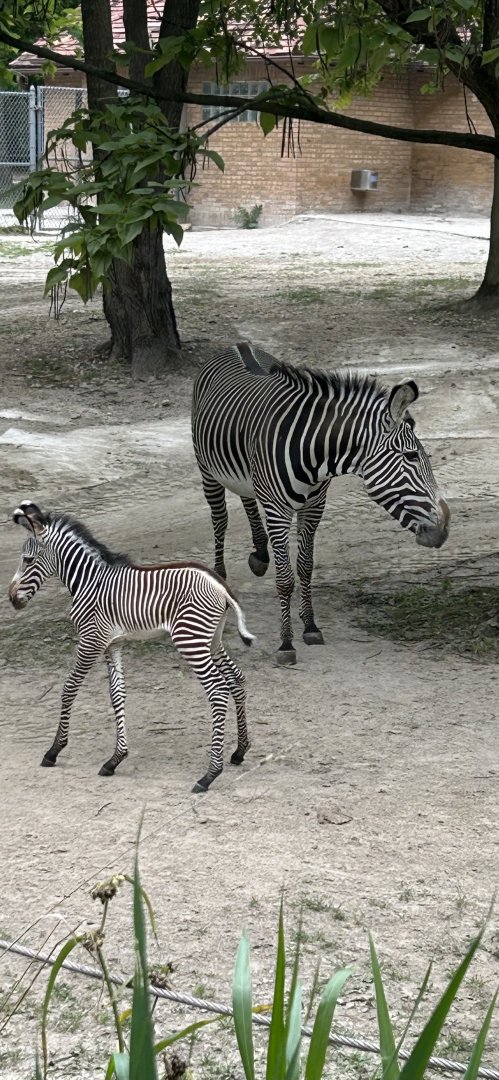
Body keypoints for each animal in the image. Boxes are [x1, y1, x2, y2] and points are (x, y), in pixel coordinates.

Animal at [8, 501, 254, 792]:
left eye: (27, 560)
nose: (12, 599)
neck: (88, 581)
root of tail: (220, 585)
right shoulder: (112, 644)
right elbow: (117, 695)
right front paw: (115, 759)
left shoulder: (91, 640)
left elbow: (69, 689)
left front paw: (54, 750)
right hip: (211, 640)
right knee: (237, 680)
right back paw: (239, 751)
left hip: (190, 641)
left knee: (218, 690)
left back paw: (209, 775)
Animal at [192, 342, 450, 665]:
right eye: (412, 456)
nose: (444, 528)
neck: (313, 453)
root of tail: (238, 345)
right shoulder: (277, 510)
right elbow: (285, 578)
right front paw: (286, 643)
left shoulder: (314, 506)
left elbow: (305, 566)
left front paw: (311, 626)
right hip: (207, 469)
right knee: (219, 518)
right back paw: (221, 579)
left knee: (247, 498)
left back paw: (260, 555)